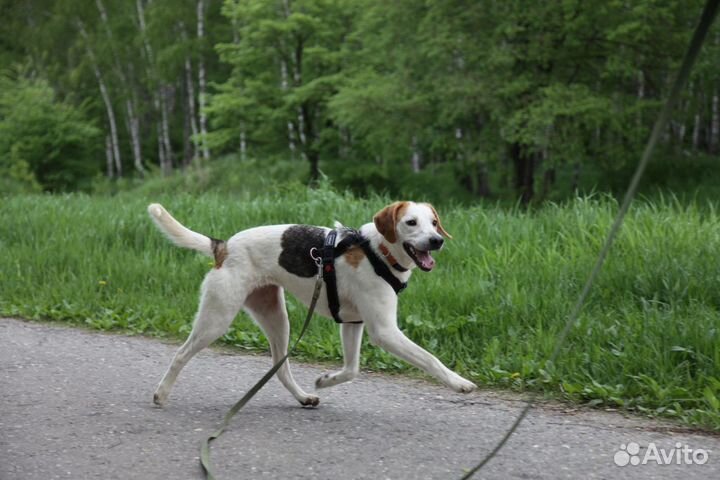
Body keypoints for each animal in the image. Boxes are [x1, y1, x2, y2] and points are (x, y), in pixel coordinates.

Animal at [148, 201, 478, 406]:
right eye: (411, 223)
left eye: (434, 223)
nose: (437, 240)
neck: (378, 252)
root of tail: (223, 246)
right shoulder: (384, 331)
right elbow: (429, 358)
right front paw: (458, 382)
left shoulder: (353, 323)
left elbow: (352, 369)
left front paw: (326, 380)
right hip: (217, 318)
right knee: (181, 354)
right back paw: (161, 394)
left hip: (276, 318)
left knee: (281, 368)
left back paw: (303, 397)